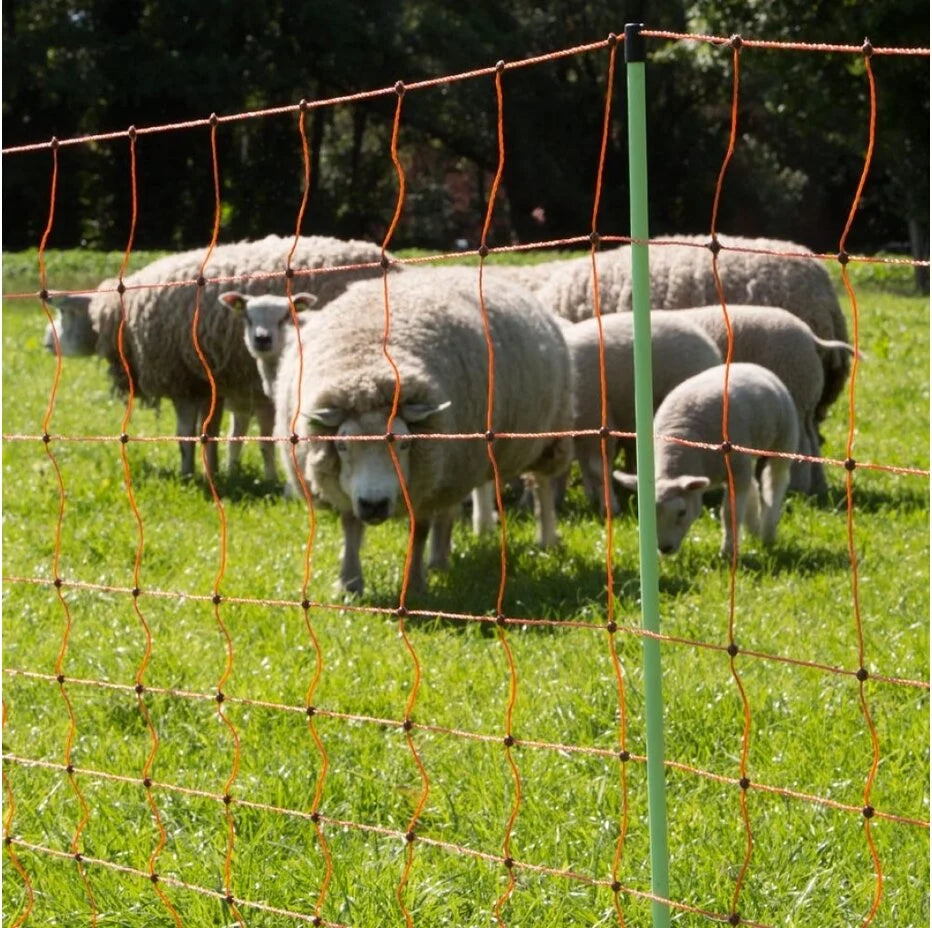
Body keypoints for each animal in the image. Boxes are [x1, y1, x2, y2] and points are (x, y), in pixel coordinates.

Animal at [43, 235, 388, 480]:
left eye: (65, 312)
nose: (46, 341)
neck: (119, 317)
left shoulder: (180, 379)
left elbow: (185, 435)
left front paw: (187, 475)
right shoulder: (213, 381)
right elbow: (210, 433)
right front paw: (214, 472)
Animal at [274, 266, 573, 594]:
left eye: (404, 444)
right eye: (341, 445)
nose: (375, 505)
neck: (370, 359)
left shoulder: (426, 485)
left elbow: (418, 532)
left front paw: (414, 584)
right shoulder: (355, 488)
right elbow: (351, 525)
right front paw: (350, 583)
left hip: (544, 436)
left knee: (541, 486)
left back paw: (546, 539)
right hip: (462, 461)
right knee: (453, 507)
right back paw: (440, 559)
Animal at [613, 363, 800, 558]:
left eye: (682, 512)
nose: (665, 548)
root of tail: (748, 365)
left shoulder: (736, 471)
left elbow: (730, 514)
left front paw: (727, 552)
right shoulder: (736, 470)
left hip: (784, 438)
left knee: (775, 481)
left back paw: (768, 532)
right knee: (754, 485)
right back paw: (754, 529)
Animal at [671, 305, 855, 496]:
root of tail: (810, 335)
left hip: (794, 391)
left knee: (801, 444)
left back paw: (796, 487)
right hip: (806, 398)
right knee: (812, 441)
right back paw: (817, 487)